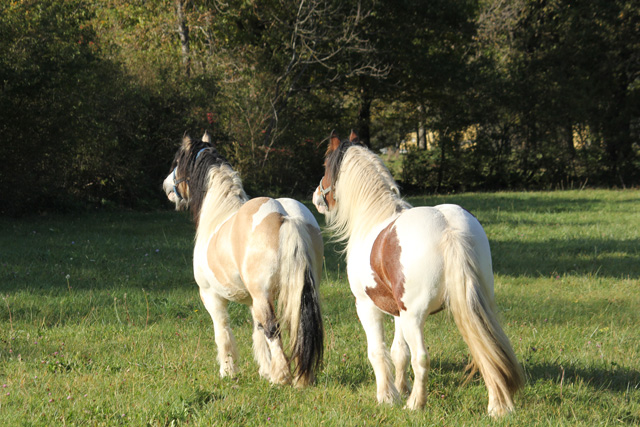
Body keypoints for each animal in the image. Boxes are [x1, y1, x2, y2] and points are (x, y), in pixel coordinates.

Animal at [165, 134, 324, 388]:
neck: (218, 214)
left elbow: (223, 332)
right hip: (301, 290)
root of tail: (284, 216)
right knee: (298, 325)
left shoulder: (211, 296)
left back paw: (281, 377)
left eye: (177, 162)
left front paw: (228, 371)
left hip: (262, 294)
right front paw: (265, 370)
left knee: (273, 329)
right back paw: (301, 377)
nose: (166, 187)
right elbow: (257, 331)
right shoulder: (252, 301)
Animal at [312, 132, 524, 416]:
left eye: (325, 166)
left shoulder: (367, 306)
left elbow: (377, 352)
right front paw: (400, 389)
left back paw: (416, 404)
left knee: (422, 358)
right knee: (490, 348)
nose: (316, 197)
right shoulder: (397, 310)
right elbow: (398, 352)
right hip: (480, 304)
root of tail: (447, 227)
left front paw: (387, 397)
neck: (372, 218)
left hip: (415, 317)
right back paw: (497, 406)